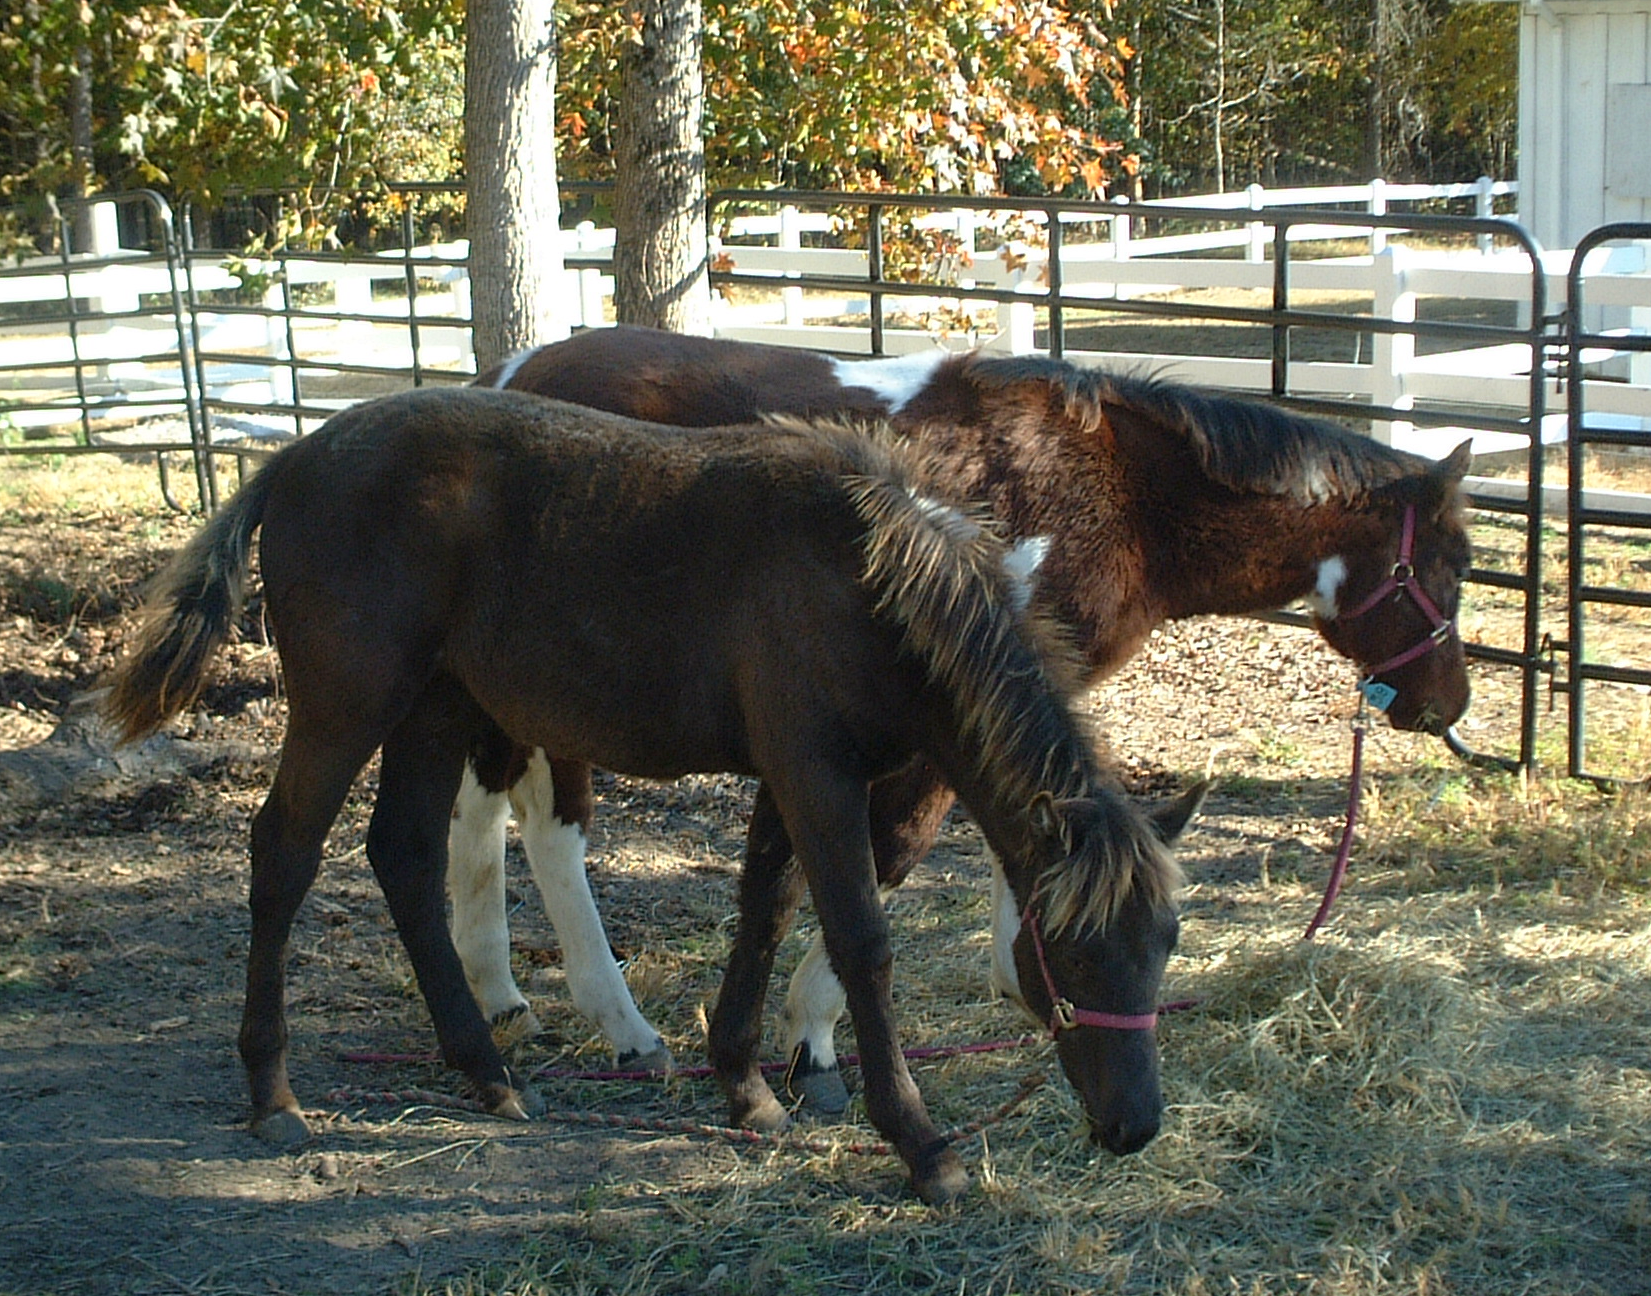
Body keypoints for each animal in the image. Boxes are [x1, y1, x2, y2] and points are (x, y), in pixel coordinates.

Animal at [99, 386, 1188, 1201]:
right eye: (1069, 950)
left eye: (1164, 947)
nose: (1133, 1126)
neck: (867, 580)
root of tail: (291, 459)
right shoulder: (816, 774)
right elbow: (860, 943)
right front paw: (921, 1145)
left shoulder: (789, 774)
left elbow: (764, 910)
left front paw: (745, 1086)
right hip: (347, 705)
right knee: (283, 854)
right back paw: (273, 1093)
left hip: (438, 707)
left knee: (401, 855)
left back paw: (486, 1071)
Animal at [445, 328, 1479, 1109]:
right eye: (1458, 566)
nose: (1450, 704)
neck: (1112, 493)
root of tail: (509, 375)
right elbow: (888, 860)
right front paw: (815, 1043)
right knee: (551, 832)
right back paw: (619, 1025)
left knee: (480, 812)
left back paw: (500, 997)